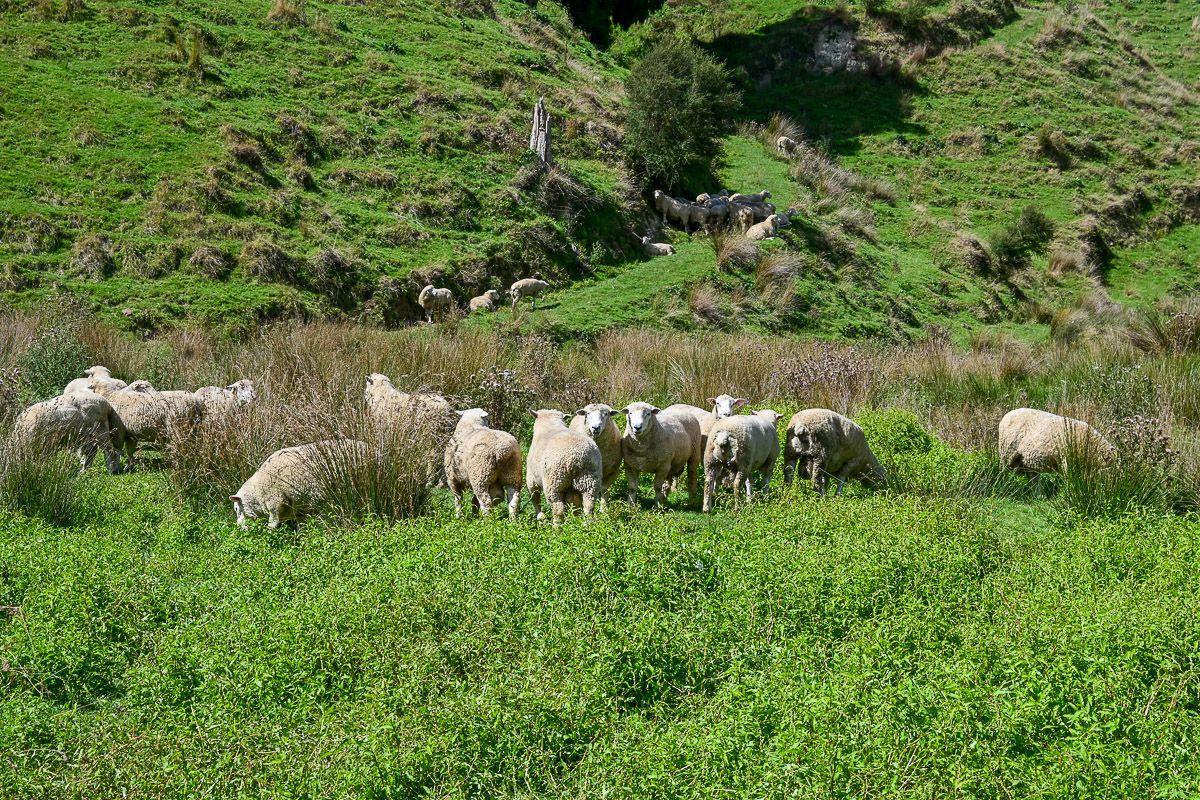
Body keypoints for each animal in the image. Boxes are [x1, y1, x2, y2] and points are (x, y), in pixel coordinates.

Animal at [230, 439, 369, 529]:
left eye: (236, 509)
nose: (240, 528)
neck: (258, 488)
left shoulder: (275, 502)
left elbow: (273, 523)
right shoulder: (300, 508)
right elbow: (301, 525)